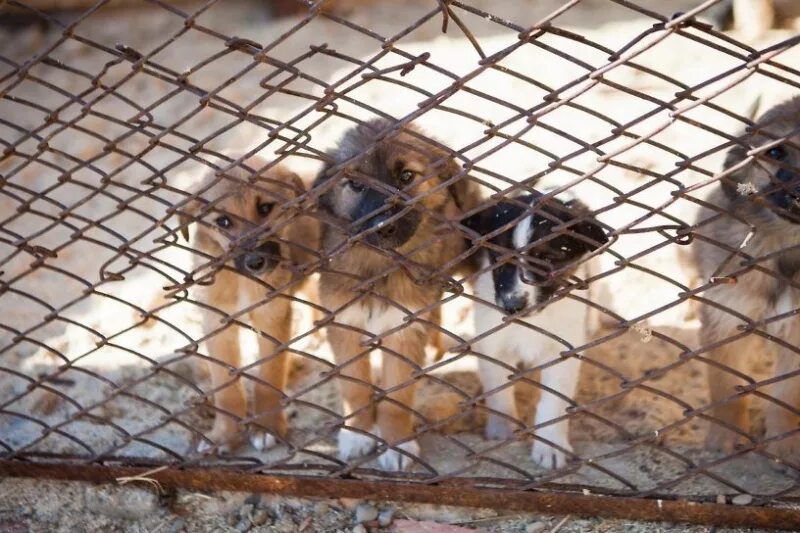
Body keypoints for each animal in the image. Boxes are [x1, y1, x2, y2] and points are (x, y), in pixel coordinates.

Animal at [180, 158, 318, 454]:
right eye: (223, 221)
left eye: (265, 208)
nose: (256, 262)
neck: (241, 280)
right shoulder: (217, 324)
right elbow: (225, 388)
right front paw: (224, 435)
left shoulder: (272, 317)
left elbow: (269, 377)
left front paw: (267, 428)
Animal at [310, 119, 476, 470]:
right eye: (355, 185)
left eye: (406, 176)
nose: (383, 226)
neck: (379, 268)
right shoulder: (344, 322)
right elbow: (354, 387)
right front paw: (357, 434)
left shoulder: (404, 328)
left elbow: (396, 399)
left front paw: (398, 444)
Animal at [462, 190, 608, 466]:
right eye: (498, 258)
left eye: (549, 259)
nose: (512, 306)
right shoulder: (493, 348)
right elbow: (499, 396)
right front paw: (501, 433)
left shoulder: (563, 354)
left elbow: (553, 403)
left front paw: (550, 446)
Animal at [692, 96, 800, 462]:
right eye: (776, 152)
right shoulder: (725, 317)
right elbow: (724, 386)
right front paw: (724, 437)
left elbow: (786, 396)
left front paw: (786, 446)